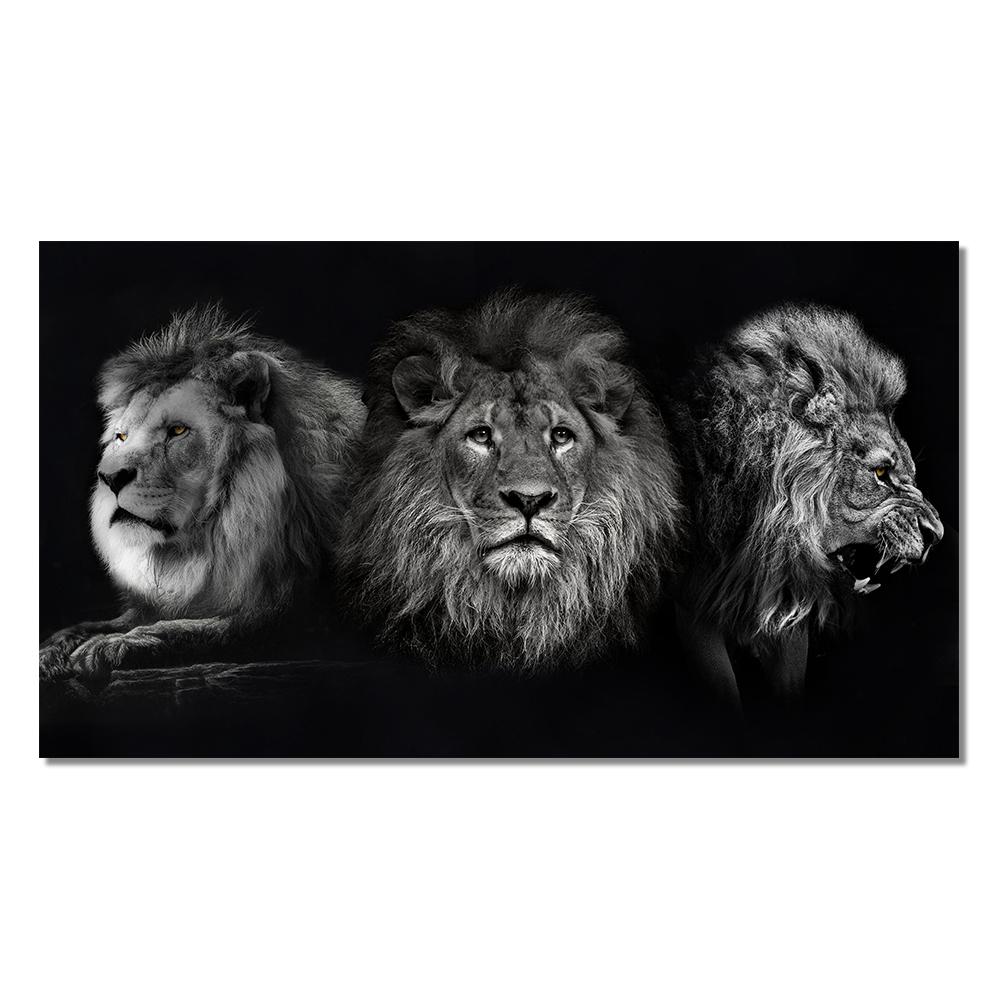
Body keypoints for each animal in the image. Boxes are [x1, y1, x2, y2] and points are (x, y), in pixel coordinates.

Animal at [40, 305, 366, 682]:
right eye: (121, 437)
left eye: (178, 431)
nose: (109, 477)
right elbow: (92, 625)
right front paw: (52, 649)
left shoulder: (289, 619)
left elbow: (197, 630)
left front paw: (113, 645)